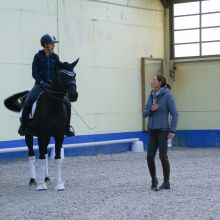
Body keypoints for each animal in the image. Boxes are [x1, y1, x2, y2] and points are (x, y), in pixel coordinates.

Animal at [3, 59, 78, 190]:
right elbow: (41, 157)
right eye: (63, 75)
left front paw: (58, 183)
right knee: (31, 154)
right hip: (29, 135)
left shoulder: (59, 136)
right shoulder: (42, 135)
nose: (74, 95)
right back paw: (33, 180)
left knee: (45, 154)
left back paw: (46, 177)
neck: (53, 106)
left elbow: (57, 157)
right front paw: (41, 185)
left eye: (74, 75)